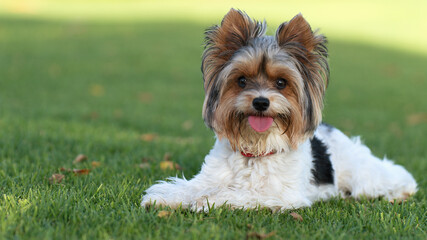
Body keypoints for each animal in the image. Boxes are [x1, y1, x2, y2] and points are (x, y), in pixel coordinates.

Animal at [141, 9, 418, 212]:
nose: (261, 102)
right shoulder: (209, 177)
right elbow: (191, 187)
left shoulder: (281, 196)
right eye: (242, 81)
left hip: (361, 174)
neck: (255, 149)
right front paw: (166, 197)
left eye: (282, 83)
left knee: (391, 175)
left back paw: (401, 193)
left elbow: (239, 194)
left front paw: (206, 201)